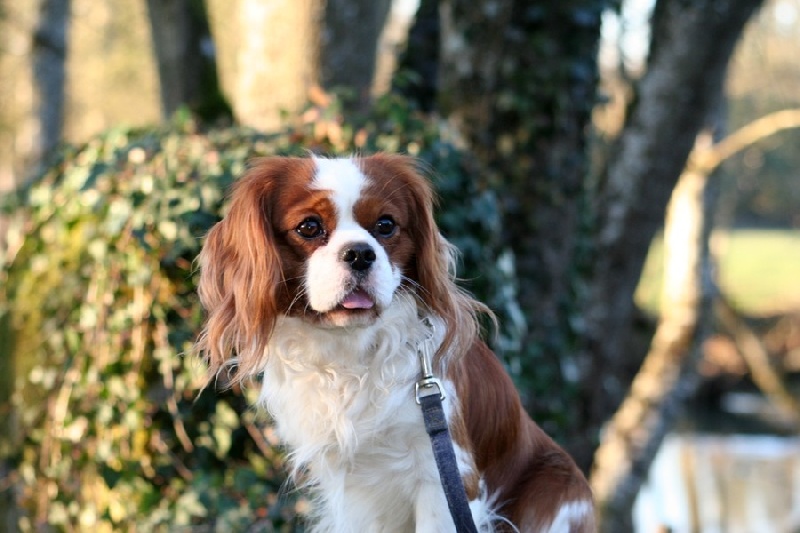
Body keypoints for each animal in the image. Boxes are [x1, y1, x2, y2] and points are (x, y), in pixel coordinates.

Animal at [195, 152, 592, 528]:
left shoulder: (445, 478)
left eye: (385, 225)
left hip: (556, 491)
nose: (360, 253)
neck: (350, 353)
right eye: (309, 227)